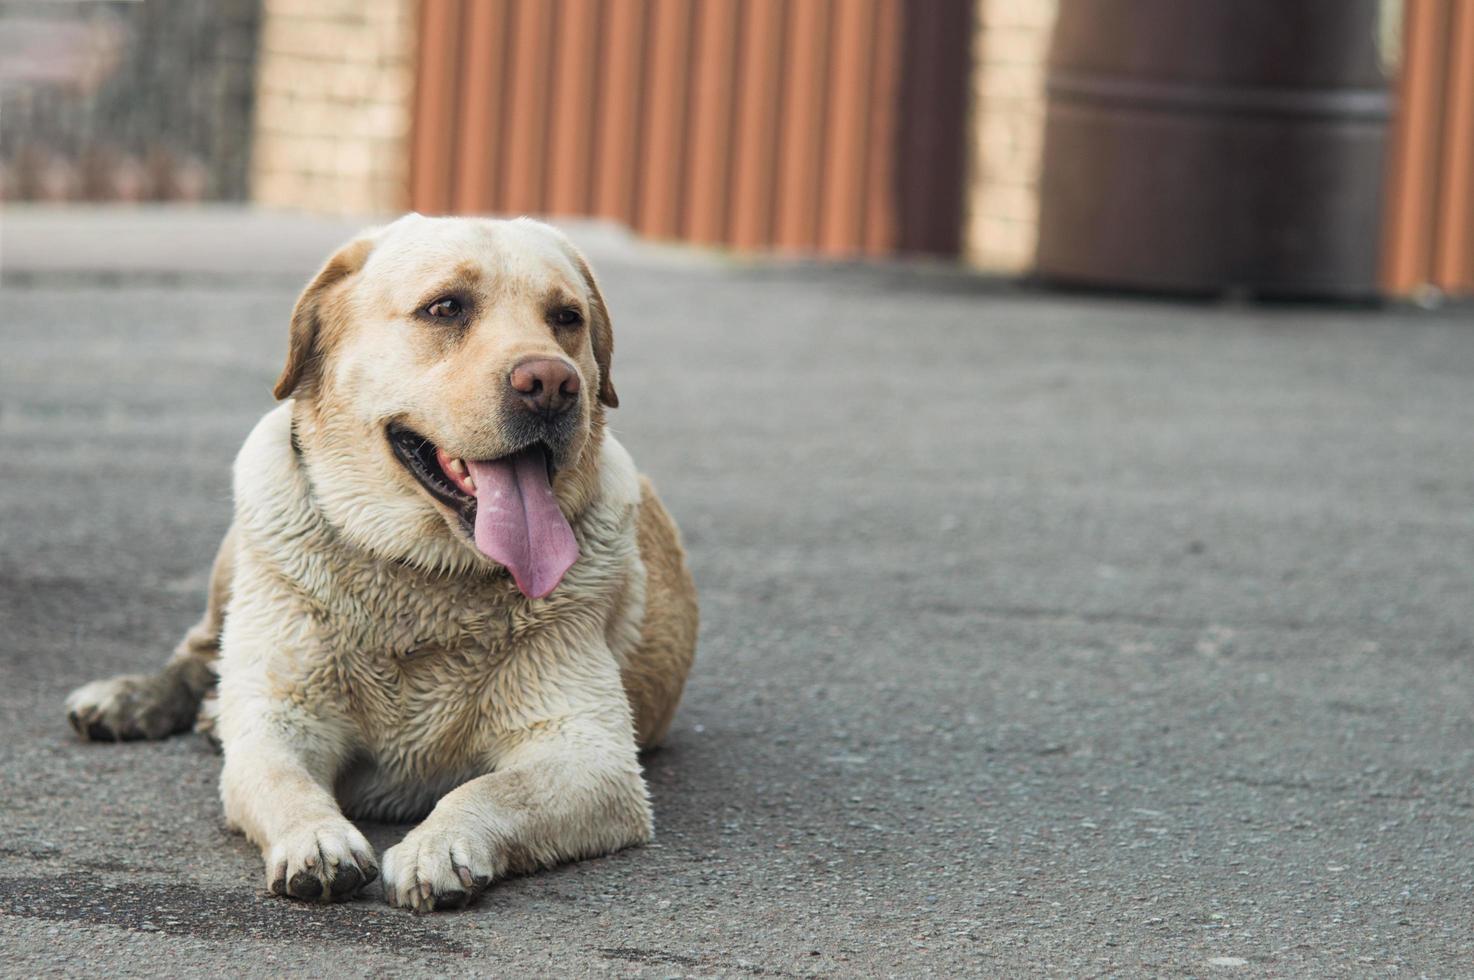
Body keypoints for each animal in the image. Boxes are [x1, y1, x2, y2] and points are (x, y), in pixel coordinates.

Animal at [63, 213, 695, 907]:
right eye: (445, 307)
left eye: (566, 318)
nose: (554, 384)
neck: (422, 573)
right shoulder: (280, 723)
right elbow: (285, 780)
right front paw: (316, 838)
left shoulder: (591, 756)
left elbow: (492, 788)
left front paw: (440, 844)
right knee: (200, 653)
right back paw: (136, 700)